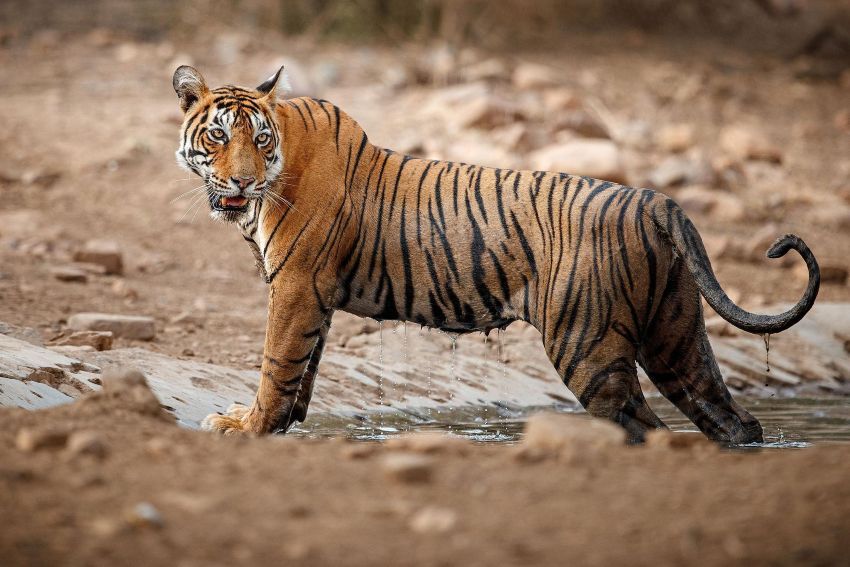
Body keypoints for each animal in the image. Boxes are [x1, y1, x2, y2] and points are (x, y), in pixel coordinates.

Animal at [173, 65, 820, 443]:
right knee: (733, 420)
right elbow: (302, 370)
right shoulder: (315, 296)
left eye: (259, 141)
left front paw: (246, 426)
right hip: (676, 336)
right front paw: (281, 424)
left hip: (587, 345)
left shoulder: (296, 286)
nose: (242, 181)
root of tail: (654, 199)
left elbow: (277, 363)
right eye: (218, 135)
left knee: (646, 425)